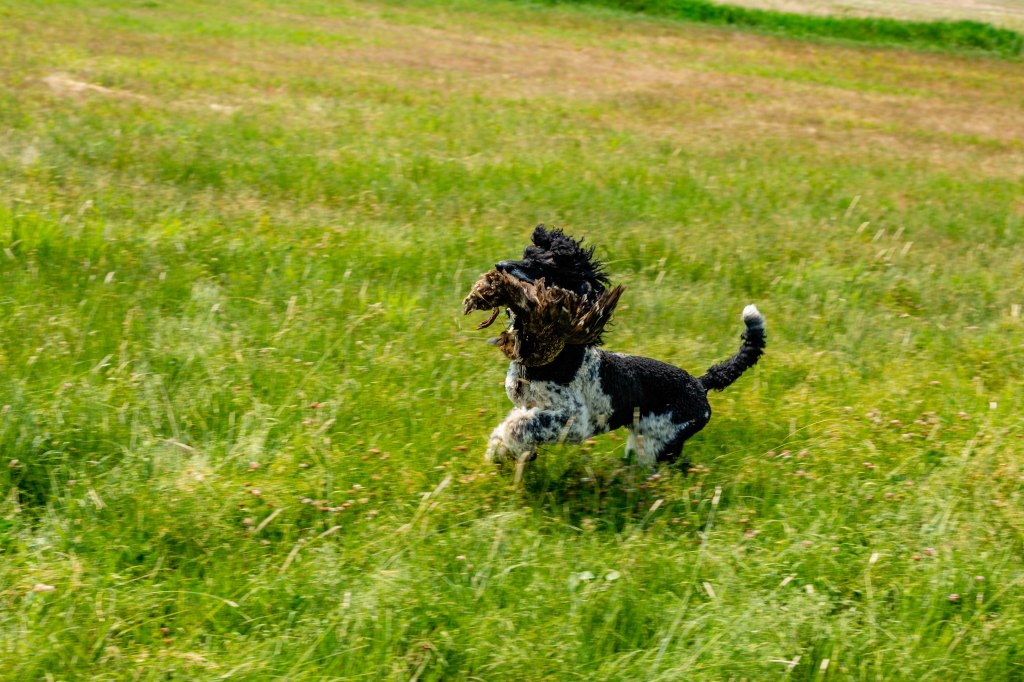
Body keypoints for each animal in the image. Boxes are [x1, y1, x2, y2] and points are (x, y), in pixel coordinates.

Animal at [464, 225, 766, 468]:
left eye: (540, 266)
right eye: (525, 254)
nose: (498, 266)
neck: (560, 355)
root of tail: (700, 385)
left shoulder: (574, 420)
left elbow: (520, 427)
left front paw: (504, 448)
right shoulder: (528, 405)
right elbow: (515, 423)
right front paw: (503, 452)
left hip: (655, 443)